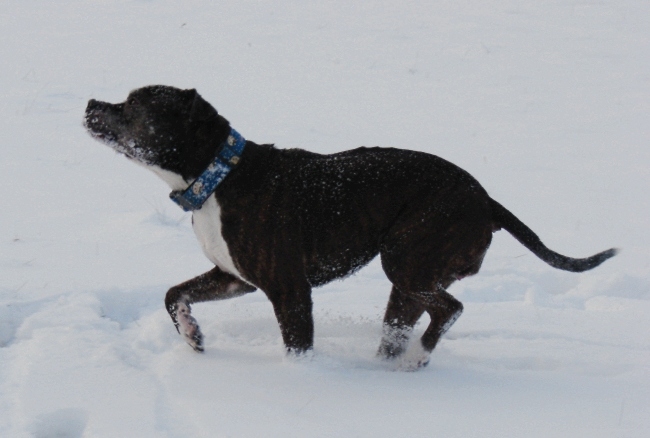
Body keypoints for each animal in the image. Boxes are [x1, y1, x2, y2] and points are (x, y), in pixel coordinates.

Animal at [83, 85, 616, 370]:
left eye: (134, 105)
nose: (90, 103)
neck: (218, 175)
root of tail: (487, 201)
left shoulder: (289, 290)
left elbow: (297, 347)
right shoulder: (233, 277)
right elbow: (174, 294)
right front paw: (192, 336)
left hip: (407, 262)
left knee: (451, 308)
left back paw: (418, 357)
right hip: (407, 283)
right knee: (404, 326)